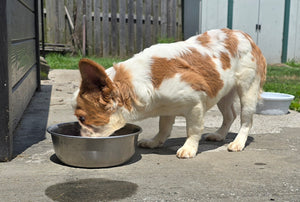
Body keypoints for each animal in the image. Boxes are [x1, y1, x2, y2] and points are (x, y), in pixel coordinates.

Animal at [74, 28, 266, 159]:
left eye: (82, 118)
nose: (80, 137)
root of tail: (245, 35)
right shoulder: (167, 108)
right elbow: (164, 127)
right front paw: (154, 142)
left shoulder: (195, 104)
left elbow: (193, 129)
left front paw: (189, 148)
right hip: (223, 92)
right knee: (230, 115)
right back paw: (219, 135)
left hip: (247, 90)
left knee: (246, 120)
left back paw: (238, 142)